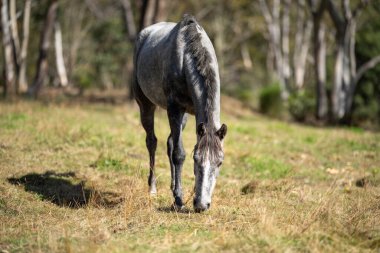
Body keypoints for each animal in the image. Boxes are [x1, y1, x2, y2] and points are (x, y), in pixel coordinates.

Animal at [132, 13, 227, 211]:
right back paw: (153, 189)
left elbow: (175, 149)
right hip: (146, 104)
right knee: (152, 142)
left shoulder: (189, 114)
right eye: (196, 159)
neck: (185, 57)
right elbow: (179, 154)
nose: (202, 205)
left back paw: (173, 186)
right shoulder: (174, 108)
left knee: (169, 143)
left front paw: (178, 193)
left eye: (220, 162)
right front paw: (178, 200)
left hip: (184, 117)